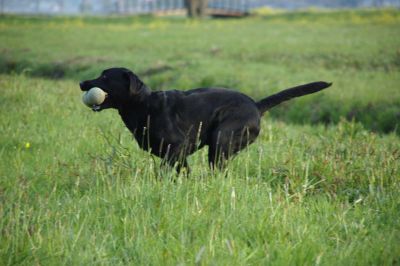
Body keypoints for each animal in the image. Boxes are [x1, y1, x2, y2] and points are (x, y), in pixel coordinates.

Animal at [79, 68, 332, 171]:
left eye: (104, 77)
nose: (81, 83)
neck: (144, 105)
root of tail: (256, 105)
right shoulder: (179, 155)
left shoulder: (178, 147)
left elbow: (163, 170)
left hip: (221, 141)